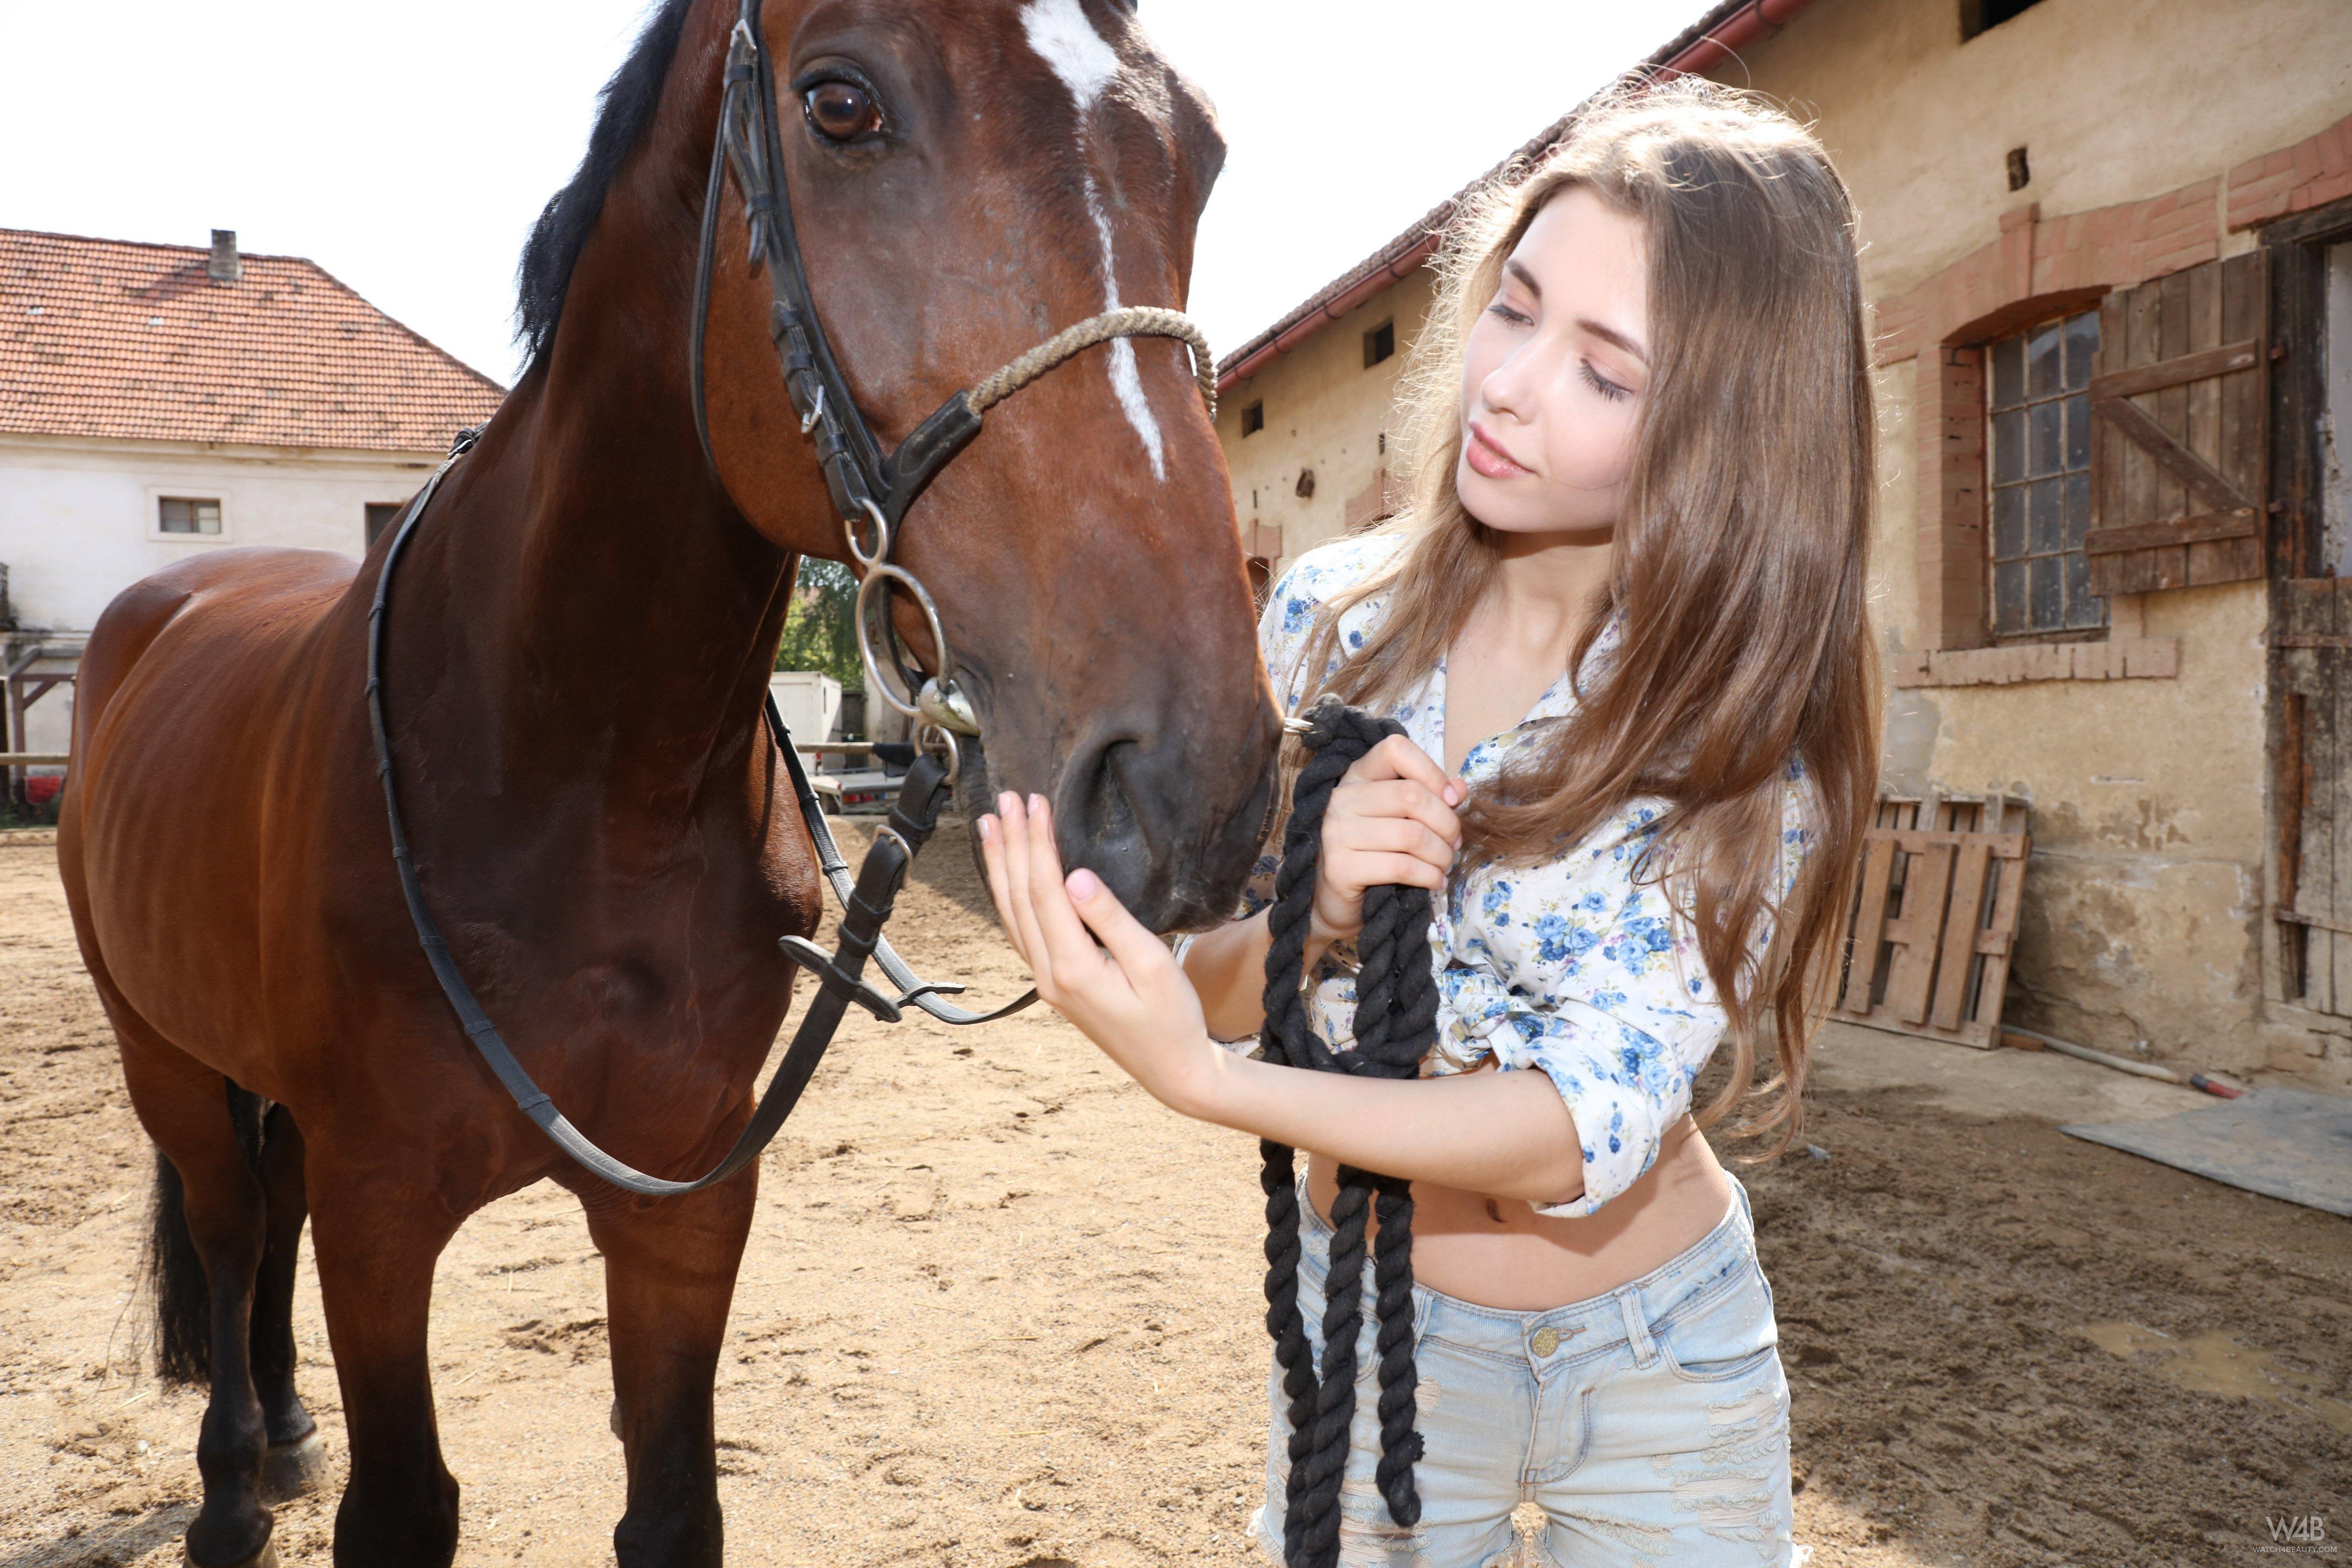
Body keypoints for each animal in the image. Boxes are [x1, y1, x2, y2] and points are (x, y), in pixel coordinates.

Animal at [55, 1, 1277, 1562]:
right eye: (839, 104)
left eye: (1202, 152)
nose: (1199, 779)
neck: (572, 775)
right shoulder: (381, 1213)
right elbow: (403, 1501)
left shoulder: (687, 1200)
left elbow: (675, 1501)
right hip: (160, 1053)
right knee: (227, 1226)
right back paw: (227, 1488)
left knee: (265, 1214)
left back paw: (280, 1432)